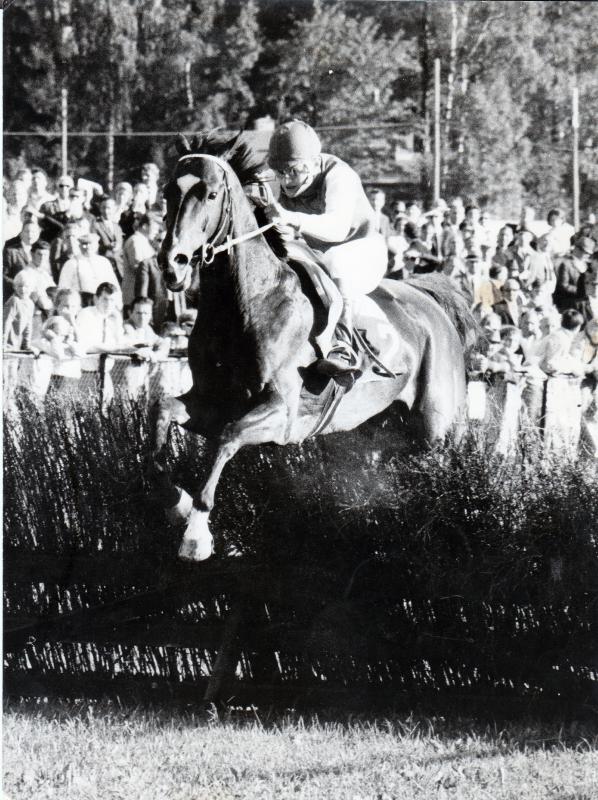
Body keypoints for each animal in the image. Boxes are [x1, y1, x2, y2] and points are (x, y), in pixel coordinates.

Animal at [152, 133, 474, 561]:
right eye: (168, 192)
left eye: (211, 194)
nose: (172, 263)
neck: (248, 303)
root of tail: (431, 299)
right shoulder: (212, 402)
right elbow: (161, 413)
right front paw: (177, 504)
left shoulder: (281, 415)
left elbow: (227, 439)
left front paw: (196, 533)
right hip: (379, 430)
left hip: (438, 429)